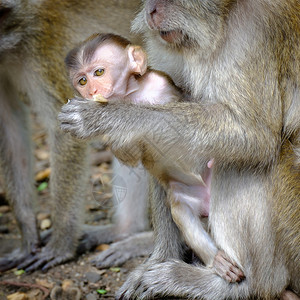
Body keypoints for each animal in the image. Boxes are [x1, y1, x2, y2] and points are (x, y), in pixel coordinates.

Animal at [0, 0, 154, 274]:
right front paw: (27, 237)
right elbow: (8, 127)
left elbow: (64, 131)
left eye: (0, 15)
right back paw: (124, 230)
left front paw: (60, 245)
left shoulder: (43, 47)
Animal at [65, 31, 244, 282]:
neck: (131, 96)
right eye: (82, 81)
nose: (91, 91)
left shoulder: (161, 83)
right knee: (182, 212)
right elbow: (131, 157)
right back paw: (216, 260)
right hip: (186, 197)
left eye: (98, 72)